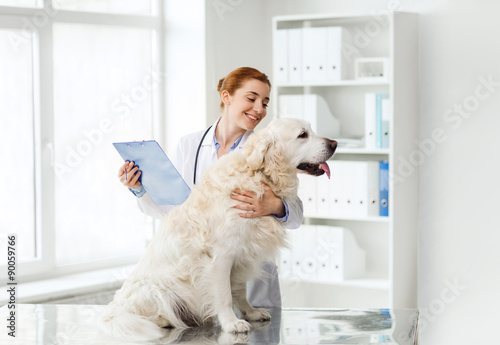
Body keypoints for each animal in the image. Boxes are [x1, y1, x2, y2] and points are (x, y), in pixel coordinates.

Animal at [100, 119, 336, 342]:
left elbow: (239, 290)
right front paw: (232, 323)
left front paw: (250, 312)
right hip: (156, 291)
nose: (334, 143)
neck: (258, 173)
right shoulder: (221, 255)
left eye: (310, 130)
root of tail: (114, 311)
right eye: (303, 134)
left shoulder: (242, 255)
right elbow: (224, 295)